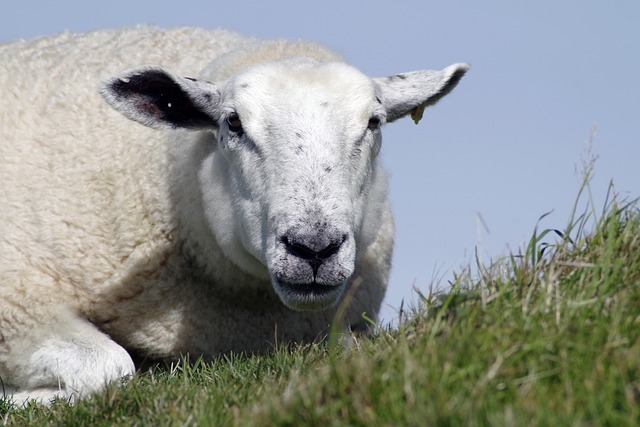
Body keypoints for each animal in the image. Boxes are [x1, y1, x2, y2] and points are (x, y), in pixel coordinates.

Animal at [0, 25, 464, 406]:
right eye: (234, 123)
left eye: (374, 122)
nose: (314, 248)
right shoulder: (18, 299)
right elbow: (111, 367)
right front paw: (22, 397)